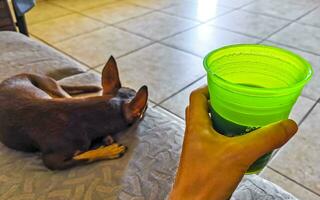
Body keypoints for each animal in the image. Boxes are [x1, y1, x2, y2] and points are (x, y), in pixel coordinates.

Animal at [0, 56, 148, 170]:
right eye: (145, 107)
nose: (147, 108)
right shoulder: (52, 161)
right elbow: (83, 158)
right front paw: (110, 151)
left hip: (55, 91)